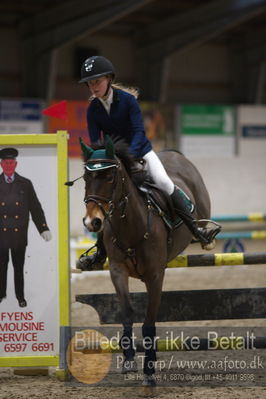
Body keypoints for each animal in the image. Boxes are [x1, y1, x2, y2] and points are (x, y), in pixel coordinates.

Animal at [79, 137, 214, 388]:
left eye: (110, 177)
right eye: (85, 177)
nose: (93, 222)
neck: (131, 226)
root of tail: (174, 154)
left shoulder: (155, 275)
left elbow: (149, 321)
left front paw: (149, 371)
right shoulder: (117, 271)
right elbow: (127, 312)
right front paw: (128, 360)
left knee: (196, 221)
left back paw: (204, 236)